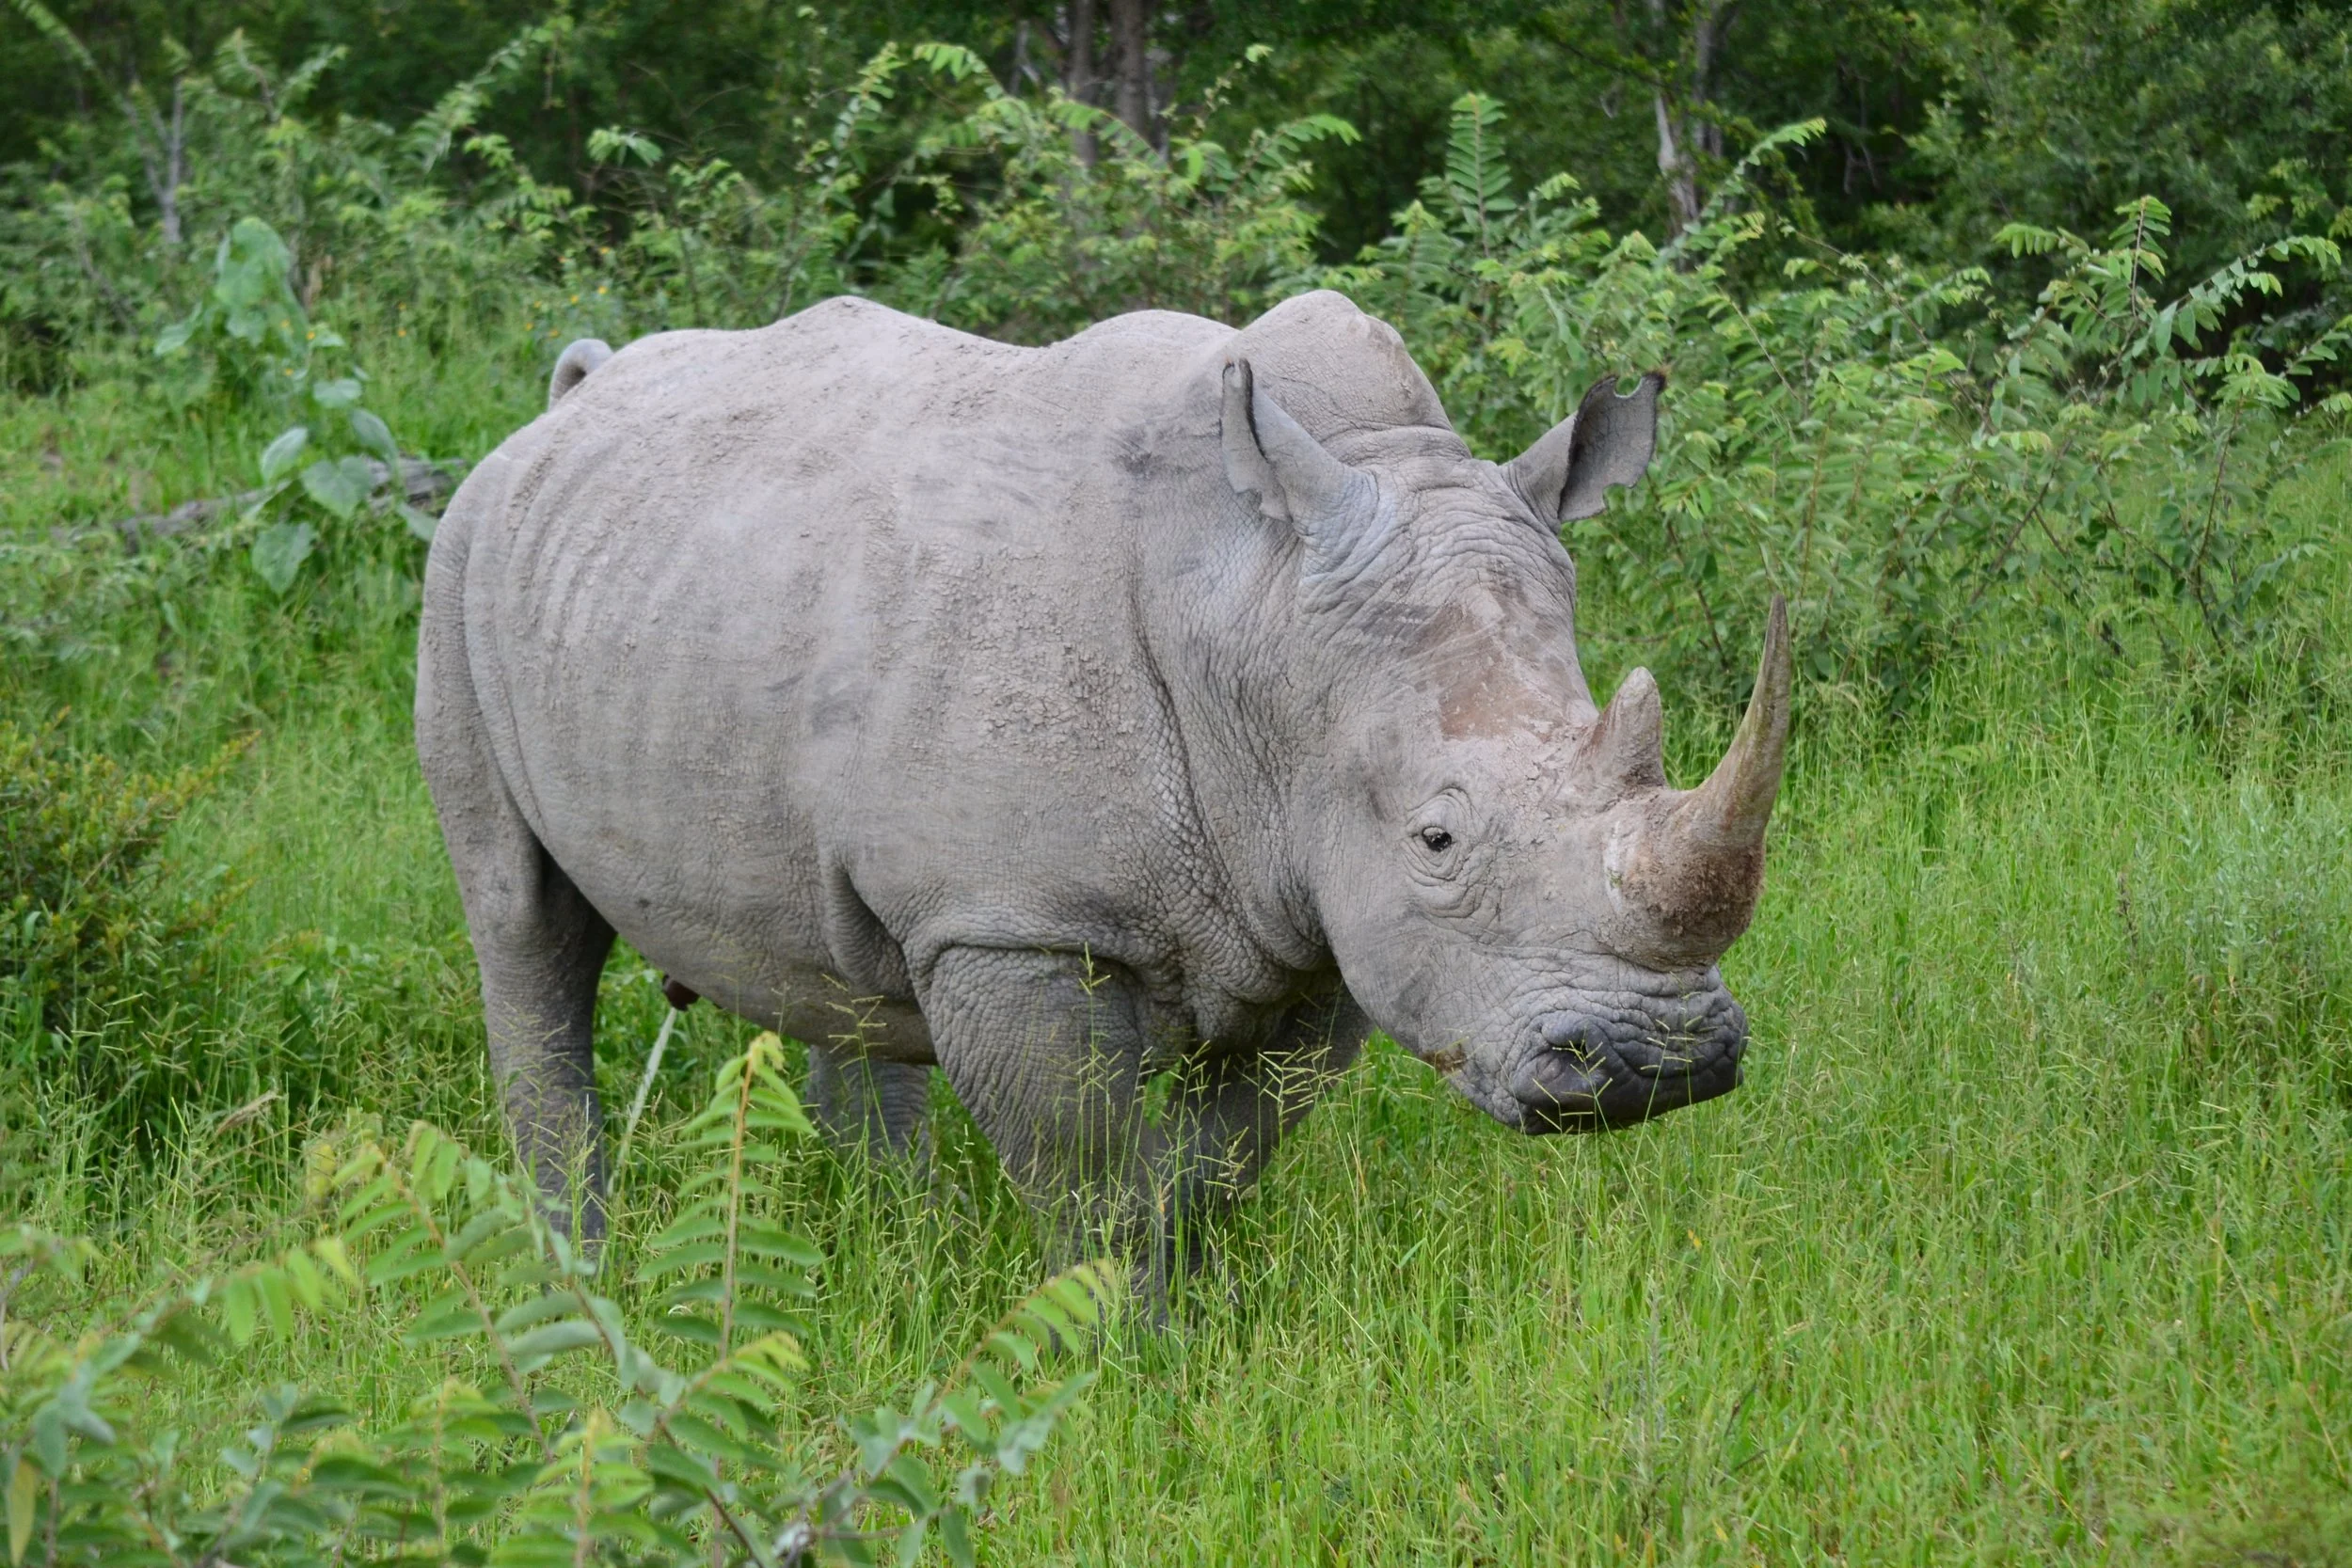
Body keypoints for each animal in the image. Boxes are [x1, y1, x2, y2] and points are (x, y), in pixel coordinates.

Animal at [416, 290, 1789, 1288]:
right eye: (1437, 836)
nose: (1663, 1061)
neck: (1251, 610)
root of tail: (567, 401)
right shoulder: (1016, 919)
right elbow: (1091, 1171)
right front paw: (1116, 1343)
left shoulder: (1315, 919)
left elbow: (1218, 1160)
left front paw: (1187, 1314)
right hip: (462, 557)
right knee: (521, 922)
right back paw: (579, 1276)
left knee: (840, 956)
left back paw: (899, 1244)